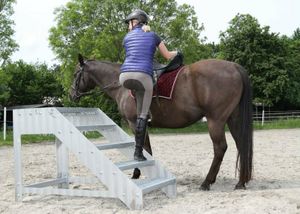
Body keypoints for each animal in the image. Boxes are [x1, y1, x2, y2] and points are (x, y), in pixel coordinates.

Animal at [69, 54, 252, 191]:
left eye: (75, 73)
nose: (71, 94)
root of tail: (234, 67)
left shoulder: (134, 123)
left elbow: (141, 148)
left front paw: (137, 173)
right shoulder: (144, 124)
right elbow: (147, 149)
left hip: (215, 121)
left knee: (220, 148)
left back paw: (207, 182)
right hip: (232, 119)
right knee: (241, 145)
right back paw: (241, 182)